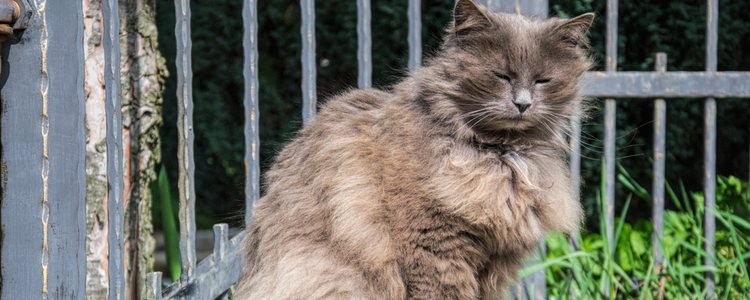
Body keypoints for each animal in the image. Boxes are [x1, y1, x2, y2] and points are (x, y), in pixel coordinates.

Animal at [235, 1, 592, 298]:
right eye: (500, 76)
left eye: (542, 80)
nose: (522, 103)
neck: (500, 157)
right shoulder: (431, 245)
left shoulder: (493, 263)